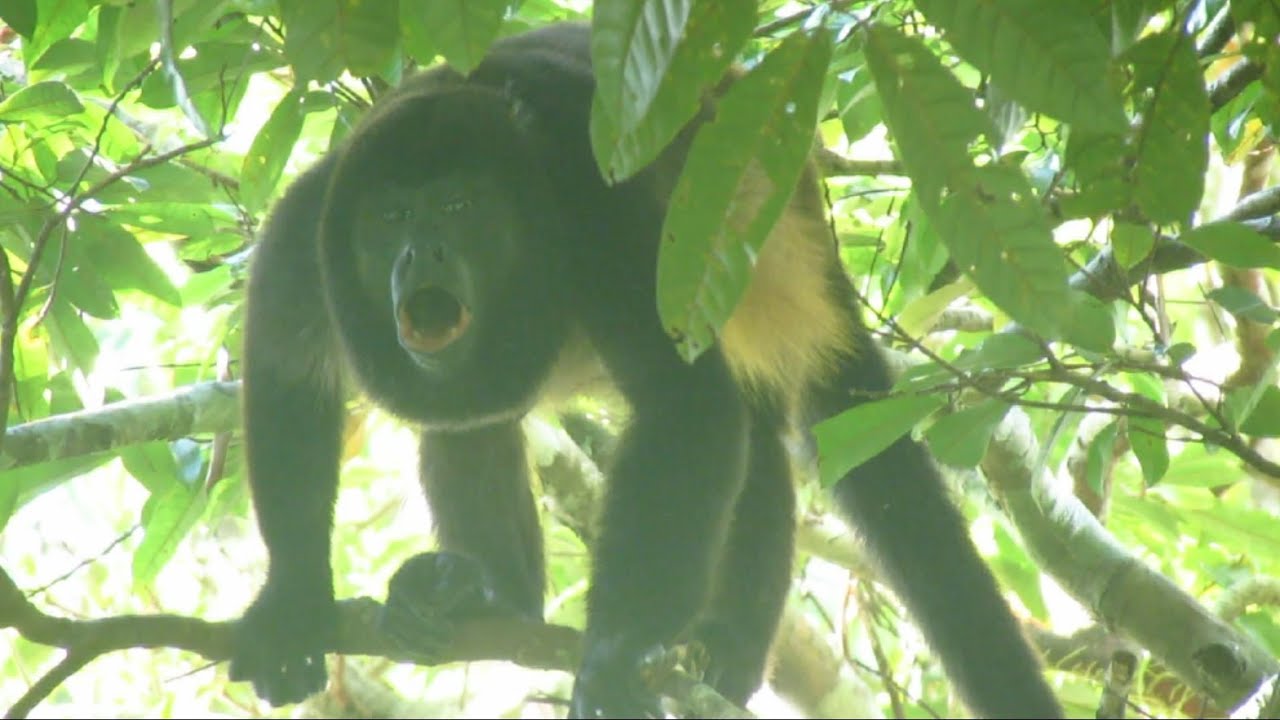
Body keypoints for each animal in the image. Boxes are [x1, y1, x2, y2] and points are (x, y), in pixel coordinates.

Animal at [227, 21, 1063, 719]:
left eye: (460, 207)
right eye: (390, 217)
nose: (419, 255)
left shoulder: (597, 218)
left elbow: (684, 406)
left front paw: (618, 654)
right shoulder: (304, 231)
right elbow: (285, 376)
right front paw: (292, 602)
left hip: (769, 258)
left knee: (752, 437)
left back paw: (727, 650)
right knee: (471, 428)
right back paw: (491, 598)